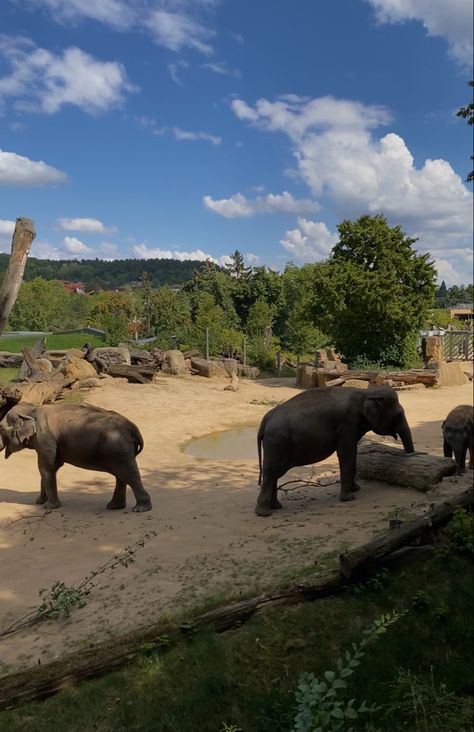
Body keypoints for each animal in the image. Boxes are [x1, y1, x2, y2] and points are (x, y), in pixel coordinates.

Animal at [0, 400, 152, 516]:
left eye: (1, 429)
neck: (32, 408)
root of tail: (134, 429)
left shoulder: (45, 438)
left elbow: (46, 467)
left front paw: (49, 506)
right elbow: (48, 468)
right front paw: (39, 502)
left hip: (117, 447)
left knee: (128, 473)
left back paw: (140, 509)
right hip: (119, 450)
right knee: (121, 475)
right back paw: (114, 506)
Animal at [256, 386, 414, 516]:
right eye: (399, 414)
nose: (411, 454)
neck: (366, 392)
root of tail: (265, 420)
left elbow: (352, 454)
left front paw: (356, 488)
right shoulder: (347, 423)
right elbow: (347, 453)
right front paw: (349, 498)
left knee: (275, 471)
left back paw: (275, 506)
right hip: (277, 440)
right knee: (271, 470)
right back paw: (264, 513)